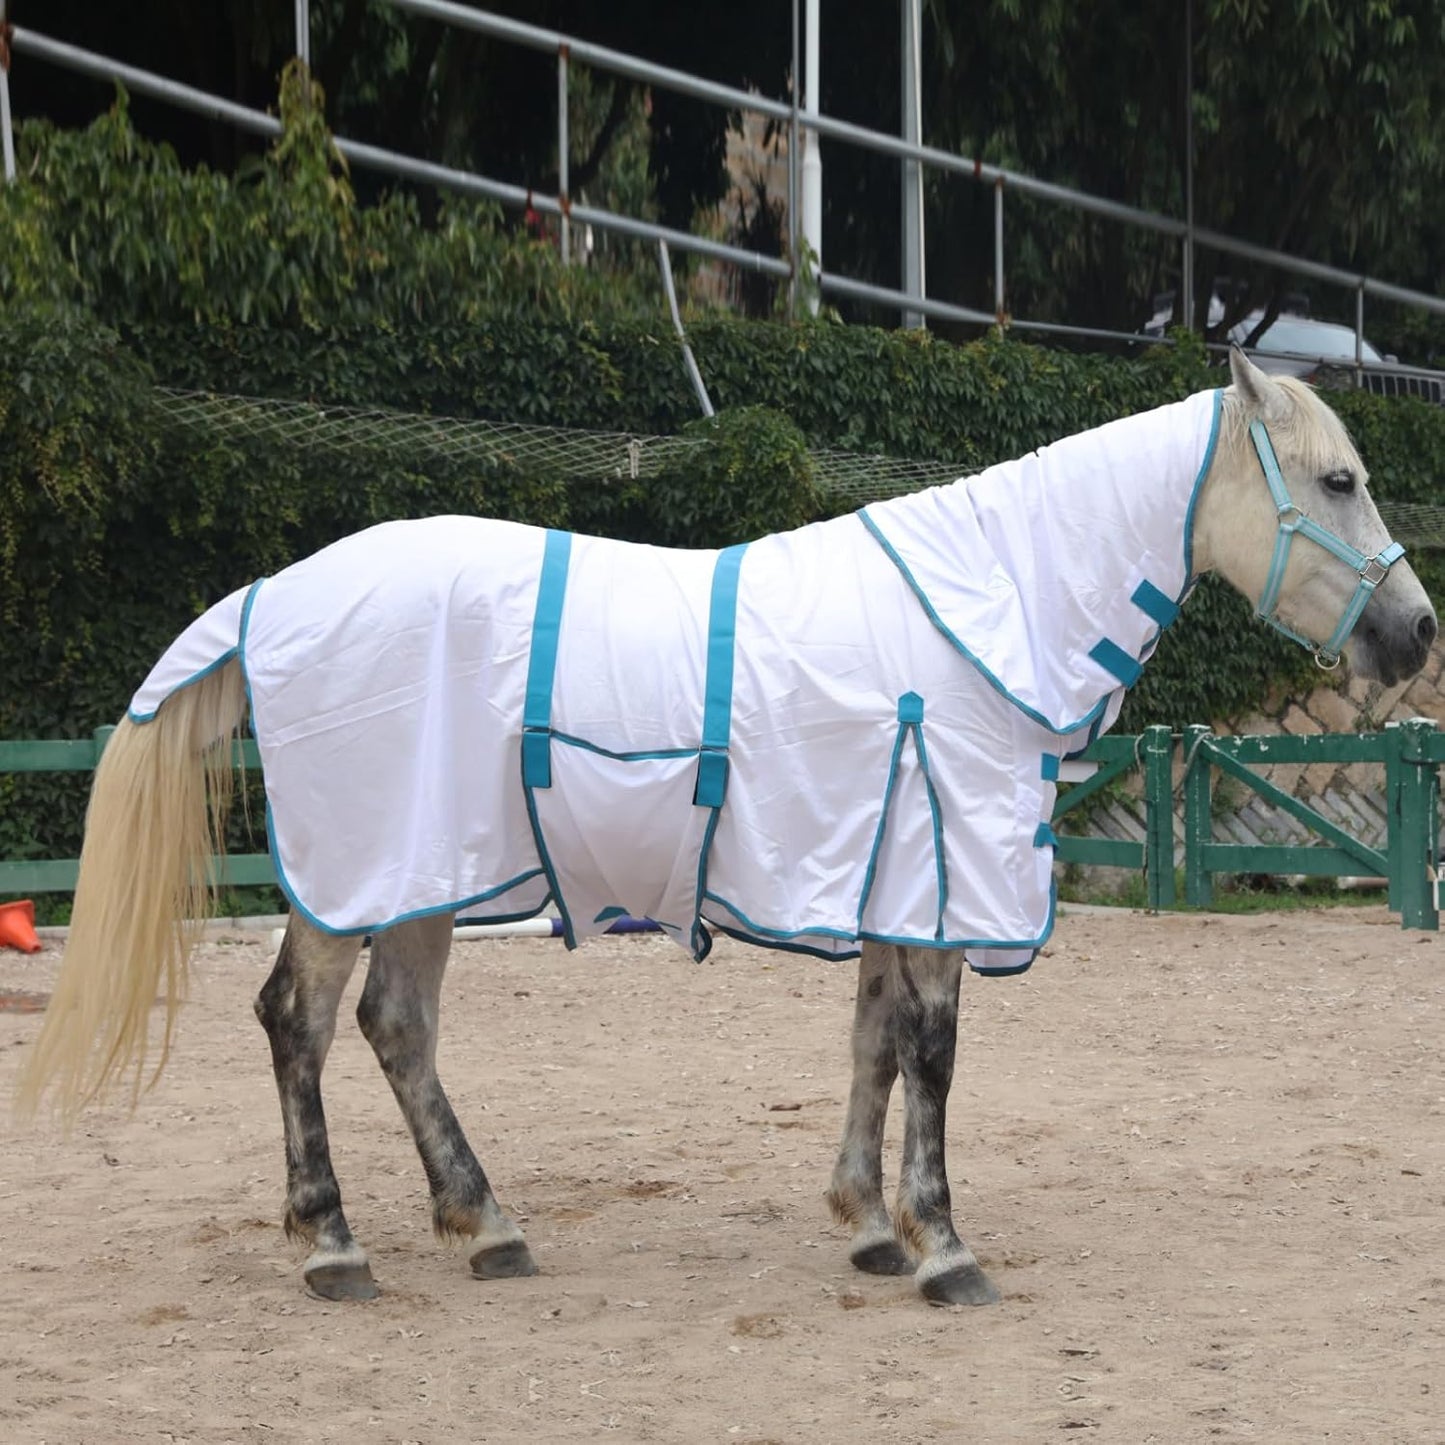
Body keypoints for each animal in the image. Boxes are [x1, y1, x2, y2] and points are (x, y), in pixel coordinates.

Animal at [15, 349, 1436, 1308]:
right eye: (1336, 479)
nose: (1413, 631)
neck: (989, 600)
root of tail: (273, 594)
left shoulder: (882, 870)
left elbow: (872, 1042)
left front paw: (869, 1225)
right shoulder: (934, 874)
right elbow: (930, 1052)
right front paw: (943, 1244)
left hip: (426, 876)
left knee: (396, 1027)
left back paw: (487, 1223)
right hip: (357, 877)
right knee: (299, 1026)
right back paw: (331, 1241)